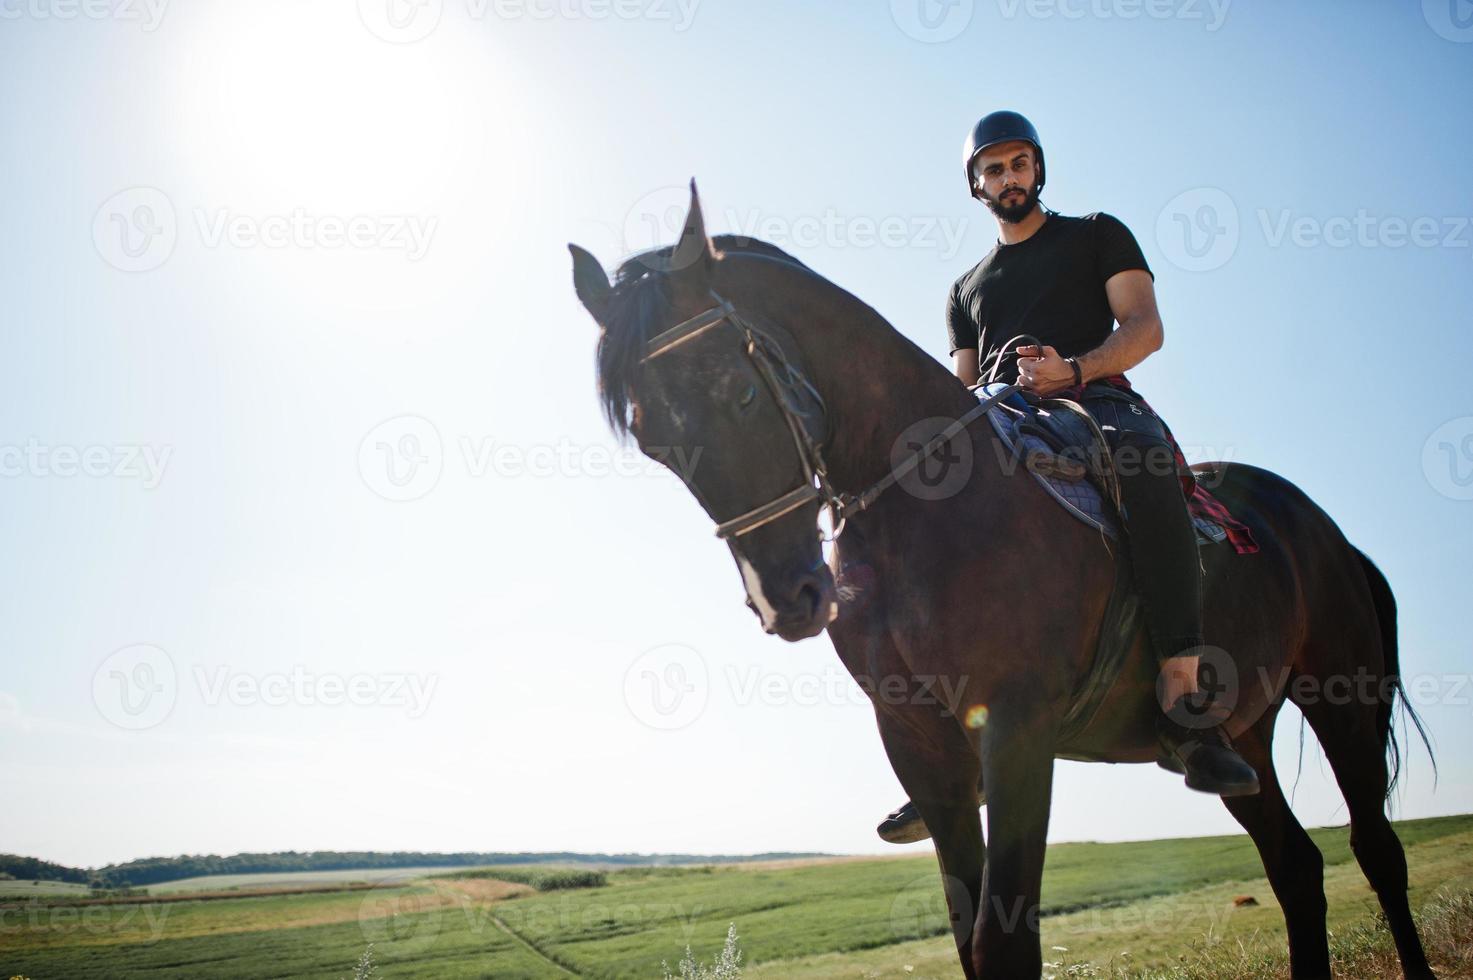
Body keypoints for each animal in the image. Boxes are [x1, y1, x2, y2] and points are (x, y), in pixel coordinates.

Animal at [571, 185, 1437, 978]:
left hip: (1340, 696)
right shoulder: (918, 743)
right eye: (651, 440)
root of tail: (1325, 530)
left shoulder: (1017, 731)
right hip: (1245, 735)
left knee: (1375, 849)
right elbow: (967, 940)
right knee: (1294, 867)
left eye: (742, 393)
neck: (922, 500)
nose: (785, 599)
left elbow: (1005, 942)